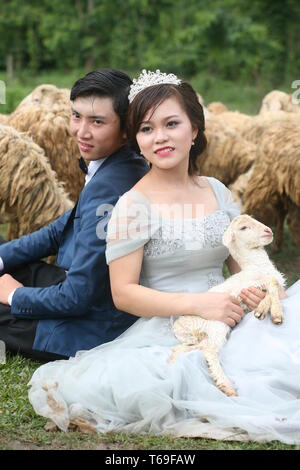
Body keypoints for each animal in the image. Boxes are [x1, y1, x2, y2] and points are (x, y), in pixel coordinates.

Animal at [171, 216, 286, 396]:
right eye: (243, 228)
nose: (268, 231)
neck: (255, 266)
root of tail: (178, 326)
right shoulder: (245, 287)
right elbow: (272, 283)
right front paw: (275, 314)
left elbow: (272, 285)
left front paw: (262, 309)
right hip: (216, 325)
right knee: (209, 351)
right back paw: (227, 387)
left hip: (200, 336)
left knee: (189, 348)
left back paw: (172, 365)